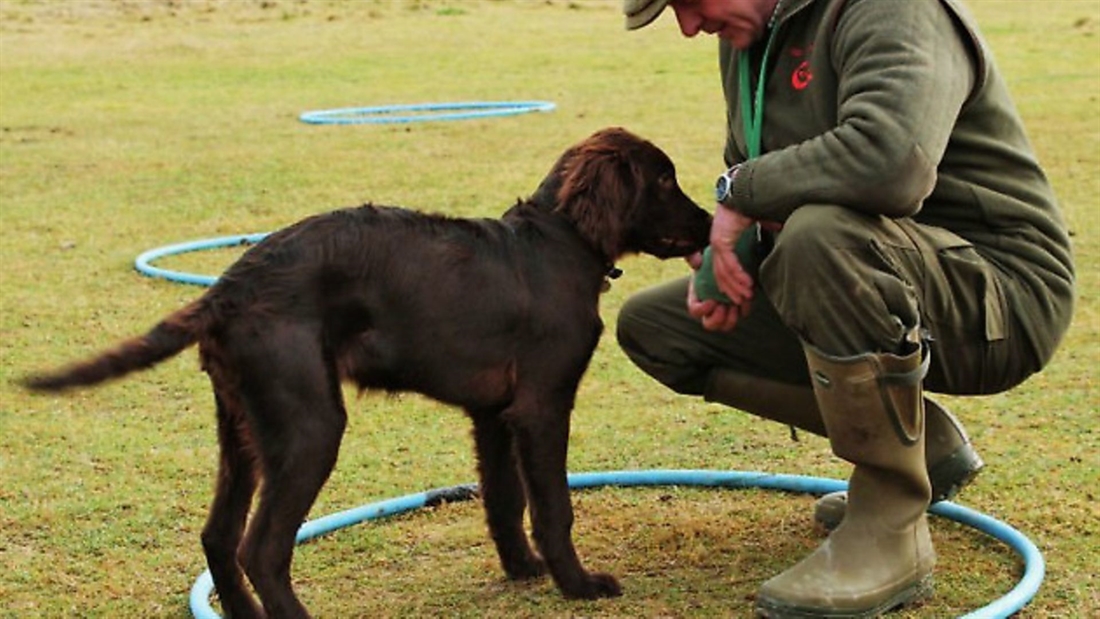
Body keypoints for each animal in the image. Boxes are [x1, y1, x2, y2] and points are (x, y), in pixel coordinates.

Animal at [23, 128, 712, 615]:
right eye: (664, 178)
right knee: (260, 548)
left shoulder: (493, 412)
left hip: (243, 426)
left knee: (218, 536)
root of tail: (226, 291)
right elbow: (551, 506)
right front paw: (579, 584)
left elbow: (502, 498)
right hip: (308, 425)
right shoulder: (542, 406)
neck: (559, 242)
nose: (712, 223)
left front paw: (522, 570)